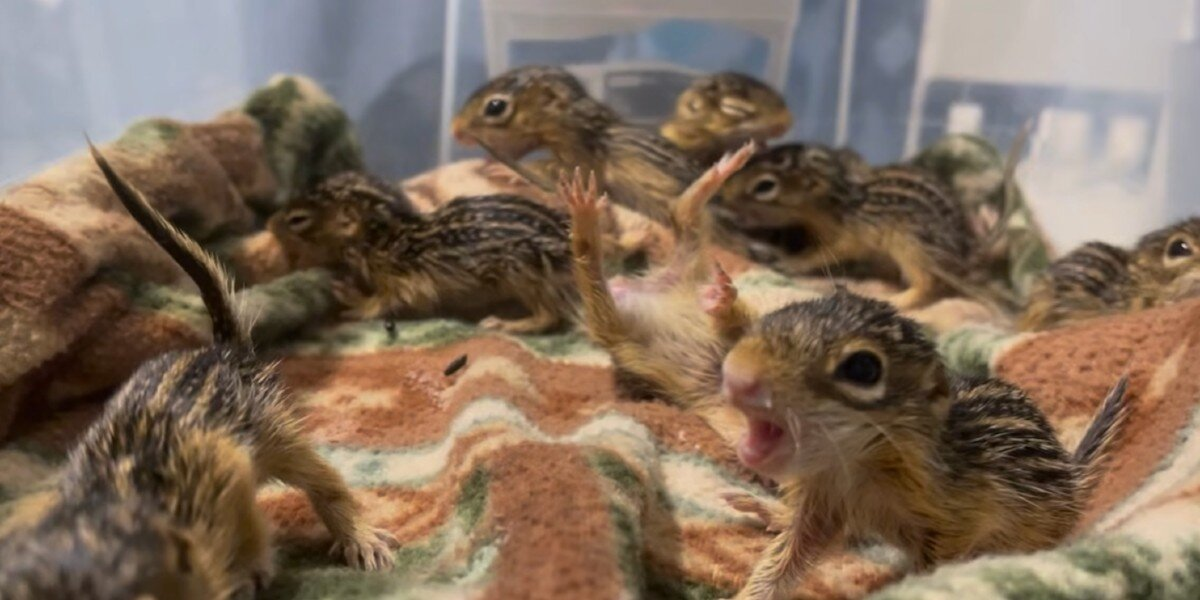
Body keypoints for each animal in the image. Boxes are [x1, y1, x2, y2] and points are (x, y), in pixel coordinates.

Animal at [0, 144, 398, 600]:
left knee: (322, 478)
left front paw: (252, 567)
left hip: (273, 426)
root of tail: (221, 349)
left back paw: (360, 538)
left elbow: (248, 517)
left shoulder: (220, 467)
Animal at [268, 171, 576, 334]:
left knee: (551, 316)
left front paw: (354, 300)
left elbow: (386, 302)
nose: (269, 224)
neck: (384, 237)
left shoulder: (404, 278)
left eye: (297, 219)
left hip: (523, 272)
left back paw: (504, 324)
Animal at [719, 288, 1128, 599]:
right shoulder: (825, 502)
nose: (736, 374)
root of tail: (1071, 476)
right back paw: (772, 512)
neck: (856, 465)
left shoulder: (959, 518)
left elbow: (934, 566)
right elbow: (786, 558)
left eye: (862, 368)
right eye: (775, 317)